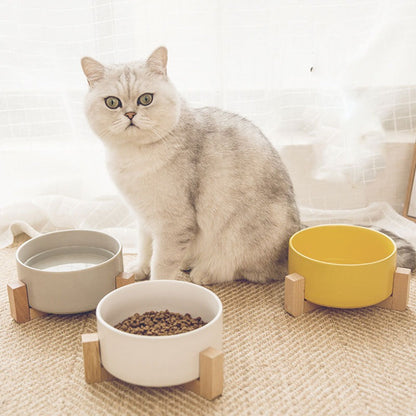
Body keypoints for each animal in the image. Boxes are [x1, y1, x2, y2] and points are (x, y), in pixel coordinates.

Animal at [80, 47, 412, 284]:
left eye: (146, 99)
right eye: (112, 103)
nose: (130, 115)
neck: (132, 157)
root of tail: (296, 232)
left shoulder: (172, 222)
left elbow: (162, 262)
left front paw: (156, 286)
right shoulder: (144, 218)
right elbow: (146, 249)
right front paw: (138, 270)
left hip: (238, 238)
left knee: (246, 272)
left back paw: (202, 272)